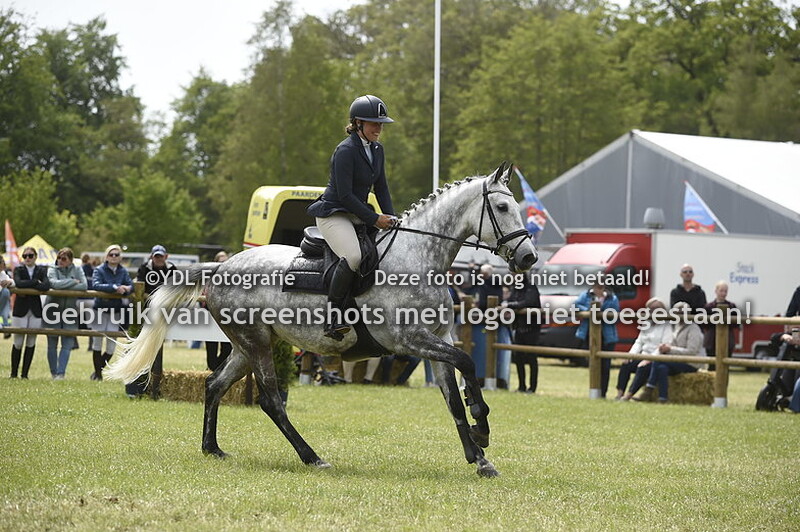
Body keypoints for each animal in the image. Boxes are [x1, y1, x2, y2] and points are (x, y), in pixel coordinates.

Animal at [106, 163, 537, 477]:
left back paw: (212, 448)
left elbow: (452, 398)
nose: (529, 257)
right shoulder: (408, 340)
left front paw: (479, 457)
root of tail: (221, 267)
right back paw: (312, 457)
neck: (418, 258)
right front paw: (482, 426)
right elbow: (466, 365)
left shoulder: (437, 338)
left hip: (248, 345)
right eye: (502, 208)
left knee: (214, 385)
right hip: (257, 344)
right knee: (270, 400)